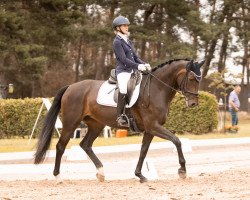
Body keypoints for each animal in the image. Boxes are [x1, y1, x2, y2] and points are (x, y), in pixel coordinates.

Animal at [34, 58, 204, 183]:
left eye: (199, 79)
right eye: (191, 78)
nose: (193, 103)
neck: (157, 89)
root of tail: (70, 87)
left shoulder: (150, 129)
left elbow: (143, 150)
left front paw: (140, 175)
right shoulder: (153, 126)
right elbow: (177, 141)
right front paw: (182, 171)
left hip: (96, 124)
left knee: (85, 145)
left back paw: (101, 173)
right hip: (71, 123)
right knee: (60, 146)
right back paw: (58, 177)